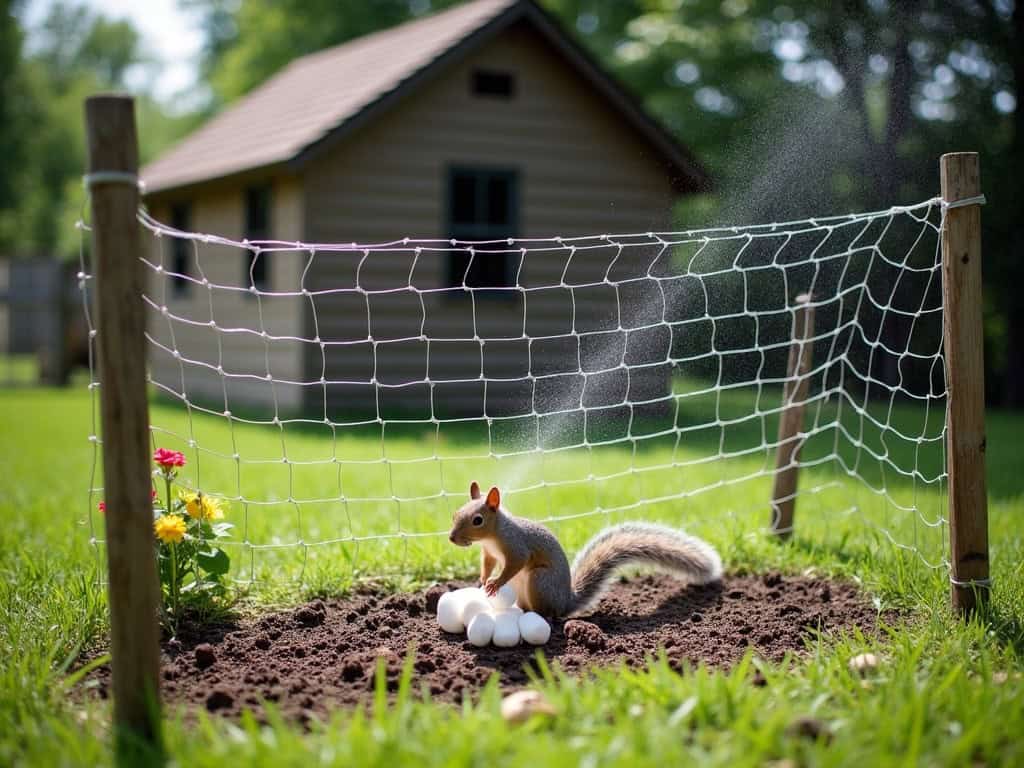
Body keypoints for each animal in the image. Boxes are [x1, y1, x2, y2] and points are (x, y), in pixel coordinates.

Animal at [448, 481, 722, 618]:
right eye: (455, 513)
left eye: (477, 520)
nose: (451, 538)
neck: (493, 536)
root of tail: (566, 603)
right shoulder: (489, 553)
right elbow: (488, 564)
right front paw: (482, 580)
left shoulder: (517, 546)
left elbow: (514, 564)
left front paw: (495, 583)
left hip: (539, 581)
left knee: (549, 615)